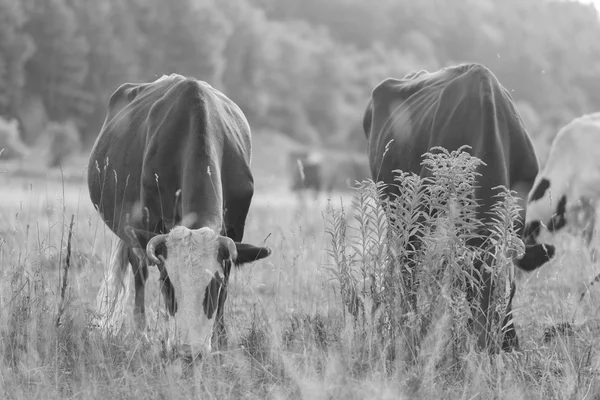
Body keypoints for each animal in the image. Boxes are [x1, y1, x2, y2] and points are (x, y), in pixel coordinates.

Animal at [87, 74, 272, 360]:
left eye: (214, 285)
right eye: (167, 283)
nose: (189, 351)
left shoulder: (235, 230)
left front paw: (221, 340)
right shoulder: (147, 223)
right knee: (138, 272)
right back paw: (140, 333)